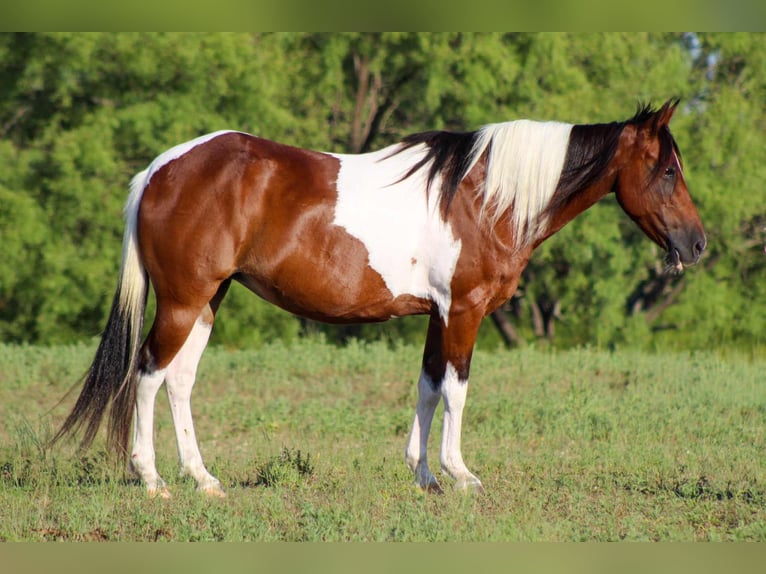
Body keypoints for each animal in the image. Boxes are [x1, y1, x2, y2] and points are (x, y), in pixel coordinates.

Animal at [53, 99, 706, 498]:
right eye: (667, 170)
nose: (697, 244)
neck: (484, 196)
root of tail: (161, 169)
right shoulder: (464, 311)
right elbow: (457, 389)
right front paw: (461, 475)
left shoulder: (437, 315)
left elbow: (427, 386)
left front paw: (425, 477)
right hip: (184, 301)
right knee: (147, 374)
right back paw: (152, 480)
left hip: (210, 301)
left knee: (180, 380)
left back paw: (204, 479)